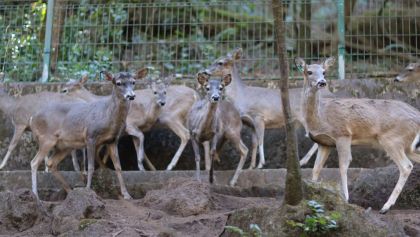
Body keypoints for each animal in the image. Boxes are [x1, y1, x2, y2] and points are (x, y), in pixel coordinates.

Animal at [29, 68, 148, 198]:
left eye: (133, 82)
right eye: (118, 83)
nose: (131, 95)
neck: (107, 116)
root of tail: (32, 119)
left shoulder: (112, 140)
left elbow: (118, 167)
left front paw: (127, 195)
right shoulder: (90, 136)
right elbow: (91, 167)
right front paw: (88, 190)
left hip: (65, 145)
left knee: (51, 163)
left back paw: (70, 192)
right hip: (47, 138)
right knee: (34, 162)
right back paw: (35, 195)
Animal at [202, 48, 334, 169]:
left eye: (220, 62)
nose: (205, 71)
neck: (242, 95)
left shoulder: (258, 116)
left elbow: (261, 140)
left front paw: (261, 164)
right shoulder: (250, 123)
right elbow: (254, 143)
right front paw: (251, 167)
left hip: (305, 117)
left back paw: (303, 162)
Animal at [294, 56, 420, 214]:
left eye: (324, 72)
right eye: (309, 72)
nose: (322, 82)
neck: (320, 117)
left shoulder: (343, 134)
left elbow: (343, 165)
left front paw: (345, 198)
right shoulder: (324, 143)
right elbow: (316, 169)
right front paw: (313, 195)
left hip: (392, 139)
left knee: (406, 166)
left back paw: (385, 207)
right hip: (408, 145)